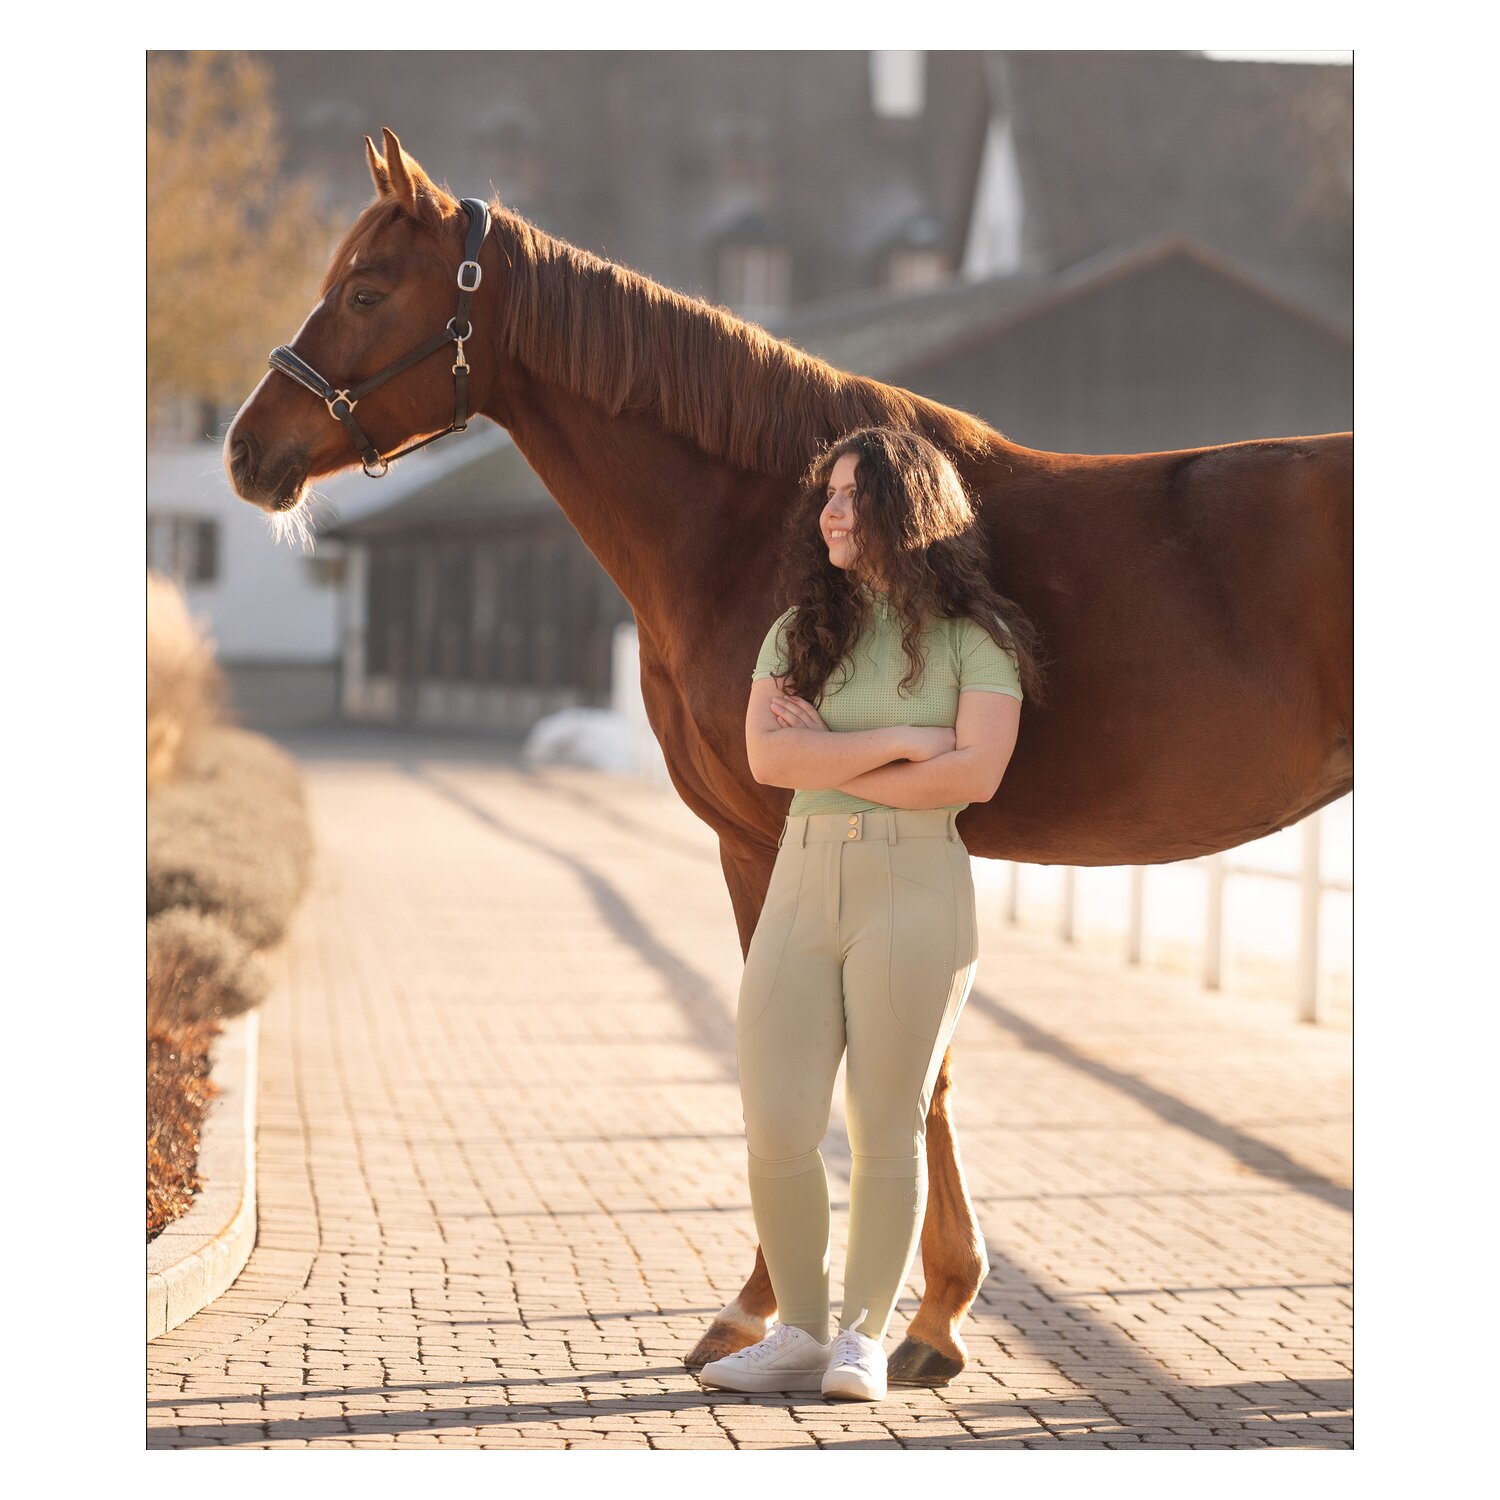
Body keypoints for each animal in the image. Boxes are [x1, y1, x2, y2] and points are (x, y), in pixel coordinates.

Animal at [225, 128, 1353, 1385]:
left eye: (368, 291)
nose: (248, 451)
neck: (766, 519)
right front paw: (931, 1311)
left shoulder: (770, 838)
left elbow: (824, 1060)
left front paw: (793, 1310)